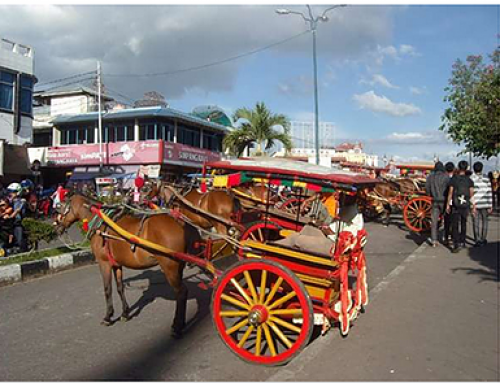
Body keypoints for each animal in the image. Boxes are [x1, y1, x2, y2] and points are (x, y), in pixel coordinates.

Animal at [53, 194, 196, 338]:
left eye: (62, 208)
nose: (57, 228)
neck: (101, 223)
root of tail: (179, 222)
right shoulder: (116, 264)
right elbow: (120, 288)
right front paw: (125, 313)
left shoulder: (104, 263)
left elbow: (107, 289)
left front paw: (108, 317)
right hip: (178, 266)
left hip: (169, 267)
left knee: (181, 292)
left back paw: (177, 327)